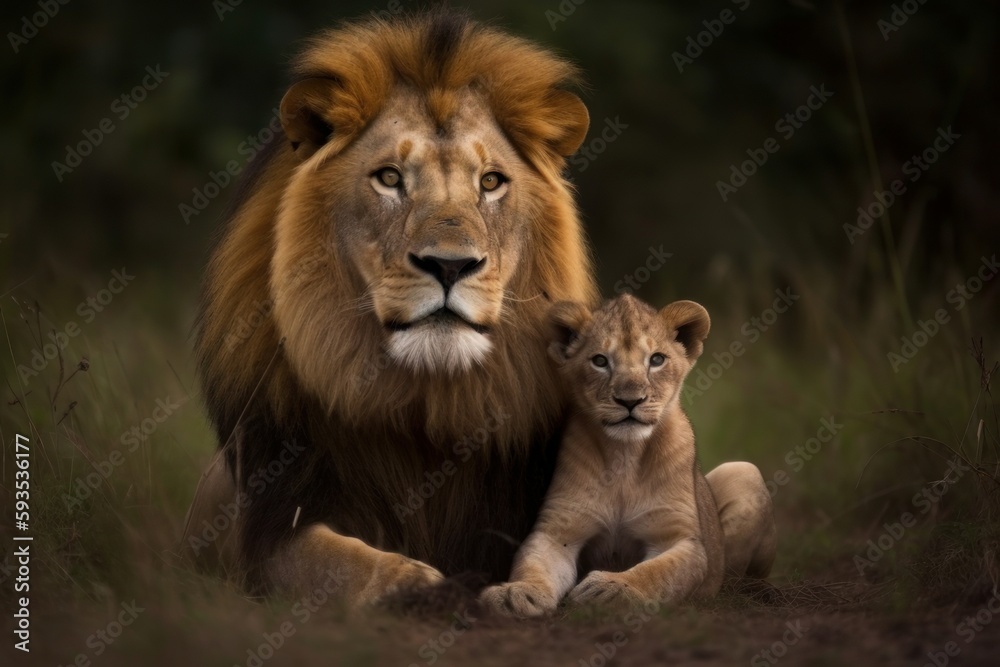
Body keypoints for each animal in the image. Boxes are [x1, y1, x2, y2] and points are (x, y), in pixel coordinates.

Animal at [480, 298, 776, 620]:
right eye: (600, 361)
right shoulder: (558, 531)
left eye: (657, 359)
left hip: (744, 472)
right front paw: (515, 593)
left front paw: (611, 590)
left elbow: (656, 572)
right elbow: (533, 564)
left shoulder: (681, 539)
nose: (630, 401)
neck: (625, 455)